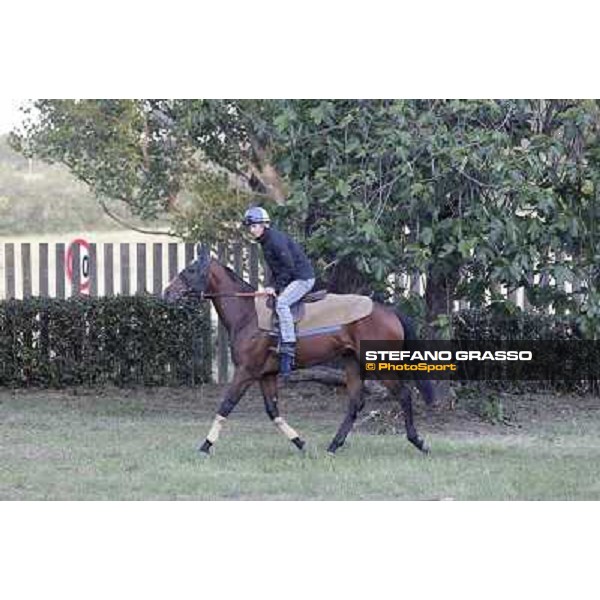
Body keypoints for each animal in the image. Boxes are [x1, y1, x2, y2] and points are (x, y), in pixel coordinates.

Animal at [164, 244, 436, 454]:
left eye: (190, 270)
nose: (166, 293)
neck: (247, 314)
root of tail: (390, 312)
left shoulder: (246, 371)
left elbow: (226, 405)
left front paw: (205, 445)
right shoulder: (266, 375)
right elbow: (273, 411)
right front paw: (300, 443)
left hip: (380, 365)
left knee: (404, 395)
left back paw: (418, 442)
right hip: (352, 363)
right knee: (356, 403)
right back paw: (333, 446)